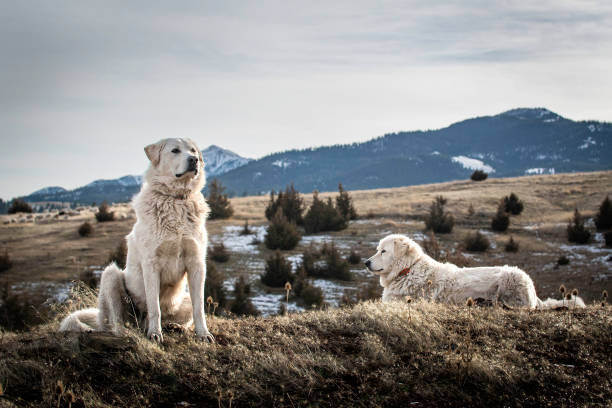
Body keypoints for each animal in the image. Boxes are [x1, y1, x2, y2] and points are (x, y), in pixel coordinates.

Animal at [59, 139, 213, 342]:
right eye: (175, 151)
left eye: (193, 151)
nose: (194, 160)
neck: (176, 200)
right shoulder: (151, 264)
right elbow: (154, 307)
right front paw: (155, 334)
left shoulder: (196, 263)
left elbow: (199, 308)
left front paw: (203, 334)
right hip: (111, 276)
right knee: (117, 322)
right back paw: (128, 332)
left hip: (183, 298)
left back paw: (174, 327)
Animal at [366, 234, 584, 308]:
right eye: (377, 249)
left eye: (383, 251)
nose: (366, 262)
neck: (407, 270)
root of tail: (533, 289)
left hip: (510, 279)